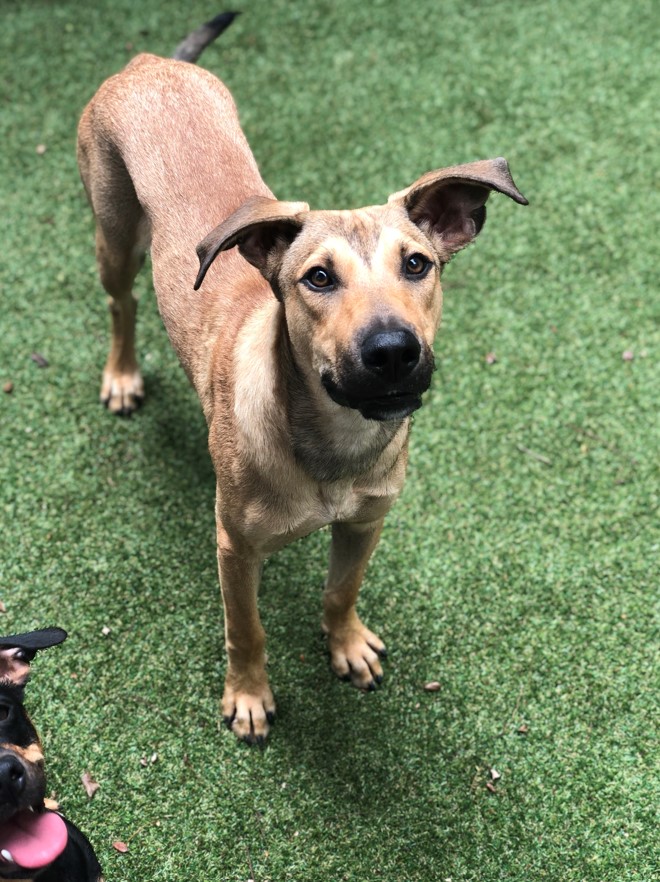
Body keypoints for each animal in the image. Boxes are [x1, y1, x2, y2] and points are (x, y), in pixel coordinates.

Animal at [76, 17, 524, 740]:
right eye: (317, 277)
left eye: (418, 264)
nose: (392, 351)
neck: (331, 446)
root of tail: (147, 63)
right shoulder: (234, 546)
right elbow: (246, 629)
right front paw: (248, 696)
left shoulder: (367, 521)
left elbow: (341, 589)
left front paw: (346, 645)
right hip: (112, 236)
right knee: (123, 304)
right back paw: (122, 376)